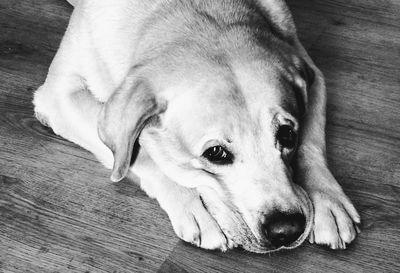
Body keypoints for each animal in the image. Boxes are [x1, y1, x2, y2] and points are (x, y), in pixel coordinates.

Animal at [33, 0, 360, 253]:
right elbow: (141, 154)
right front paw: (194, 204)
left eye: (287, 134)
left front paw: (327, 200)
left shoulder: (310, 70)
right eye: (215, 153)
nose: (286, 229)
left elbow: (311, 143)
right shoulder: (59, 97)